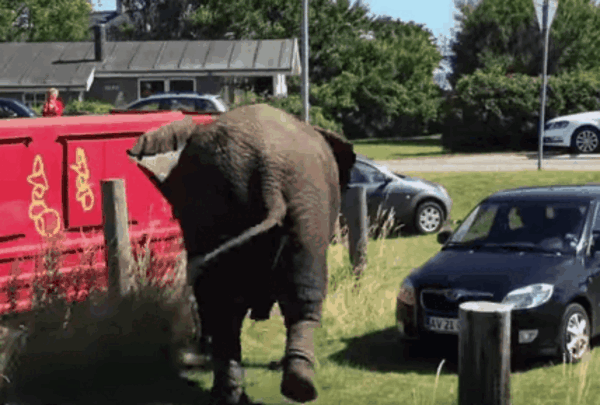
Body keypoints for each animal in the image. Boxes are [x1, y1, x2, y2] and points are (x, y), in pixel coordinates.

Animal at [124, 105, 354, 404]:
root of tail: (269, 173)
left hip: (247, 199)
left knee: (224, 303)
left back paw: (238, 392)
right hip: (300, 198)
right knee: (297, 296)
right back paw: (294, 387)